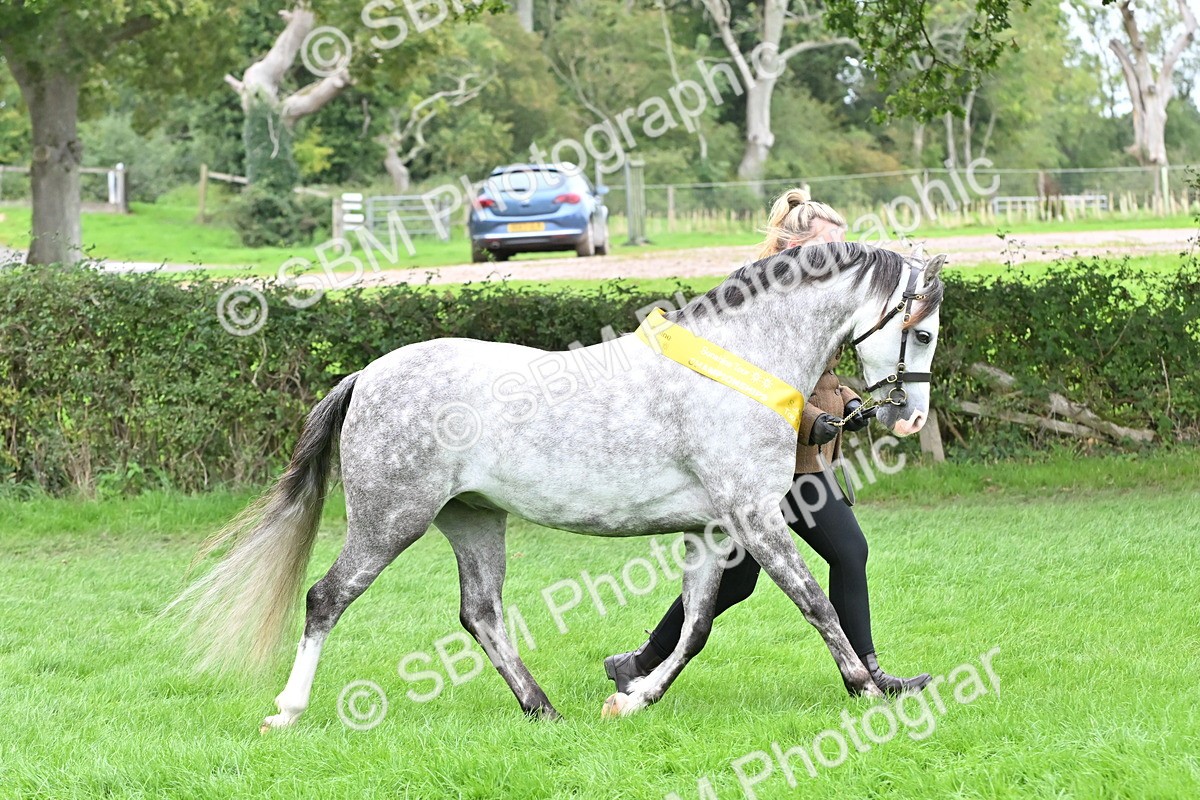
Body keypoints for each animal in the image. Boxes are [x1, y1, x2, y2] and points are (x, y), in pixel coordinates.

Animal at [170, 241, 946, 729]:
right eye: (924, 332)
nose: (909, 417)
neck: (738, 363)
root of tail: (368, 375)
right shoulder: (753, 517)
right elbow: (815, 601)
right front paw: (867, 689)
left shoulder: (711, 529)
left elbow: (695, 628)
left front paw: (633, 698)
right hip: (391, 520)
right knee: (326, 599)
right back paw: (288, 711)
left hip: (473, 519)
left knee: (481, 613)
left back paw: (542, 708)